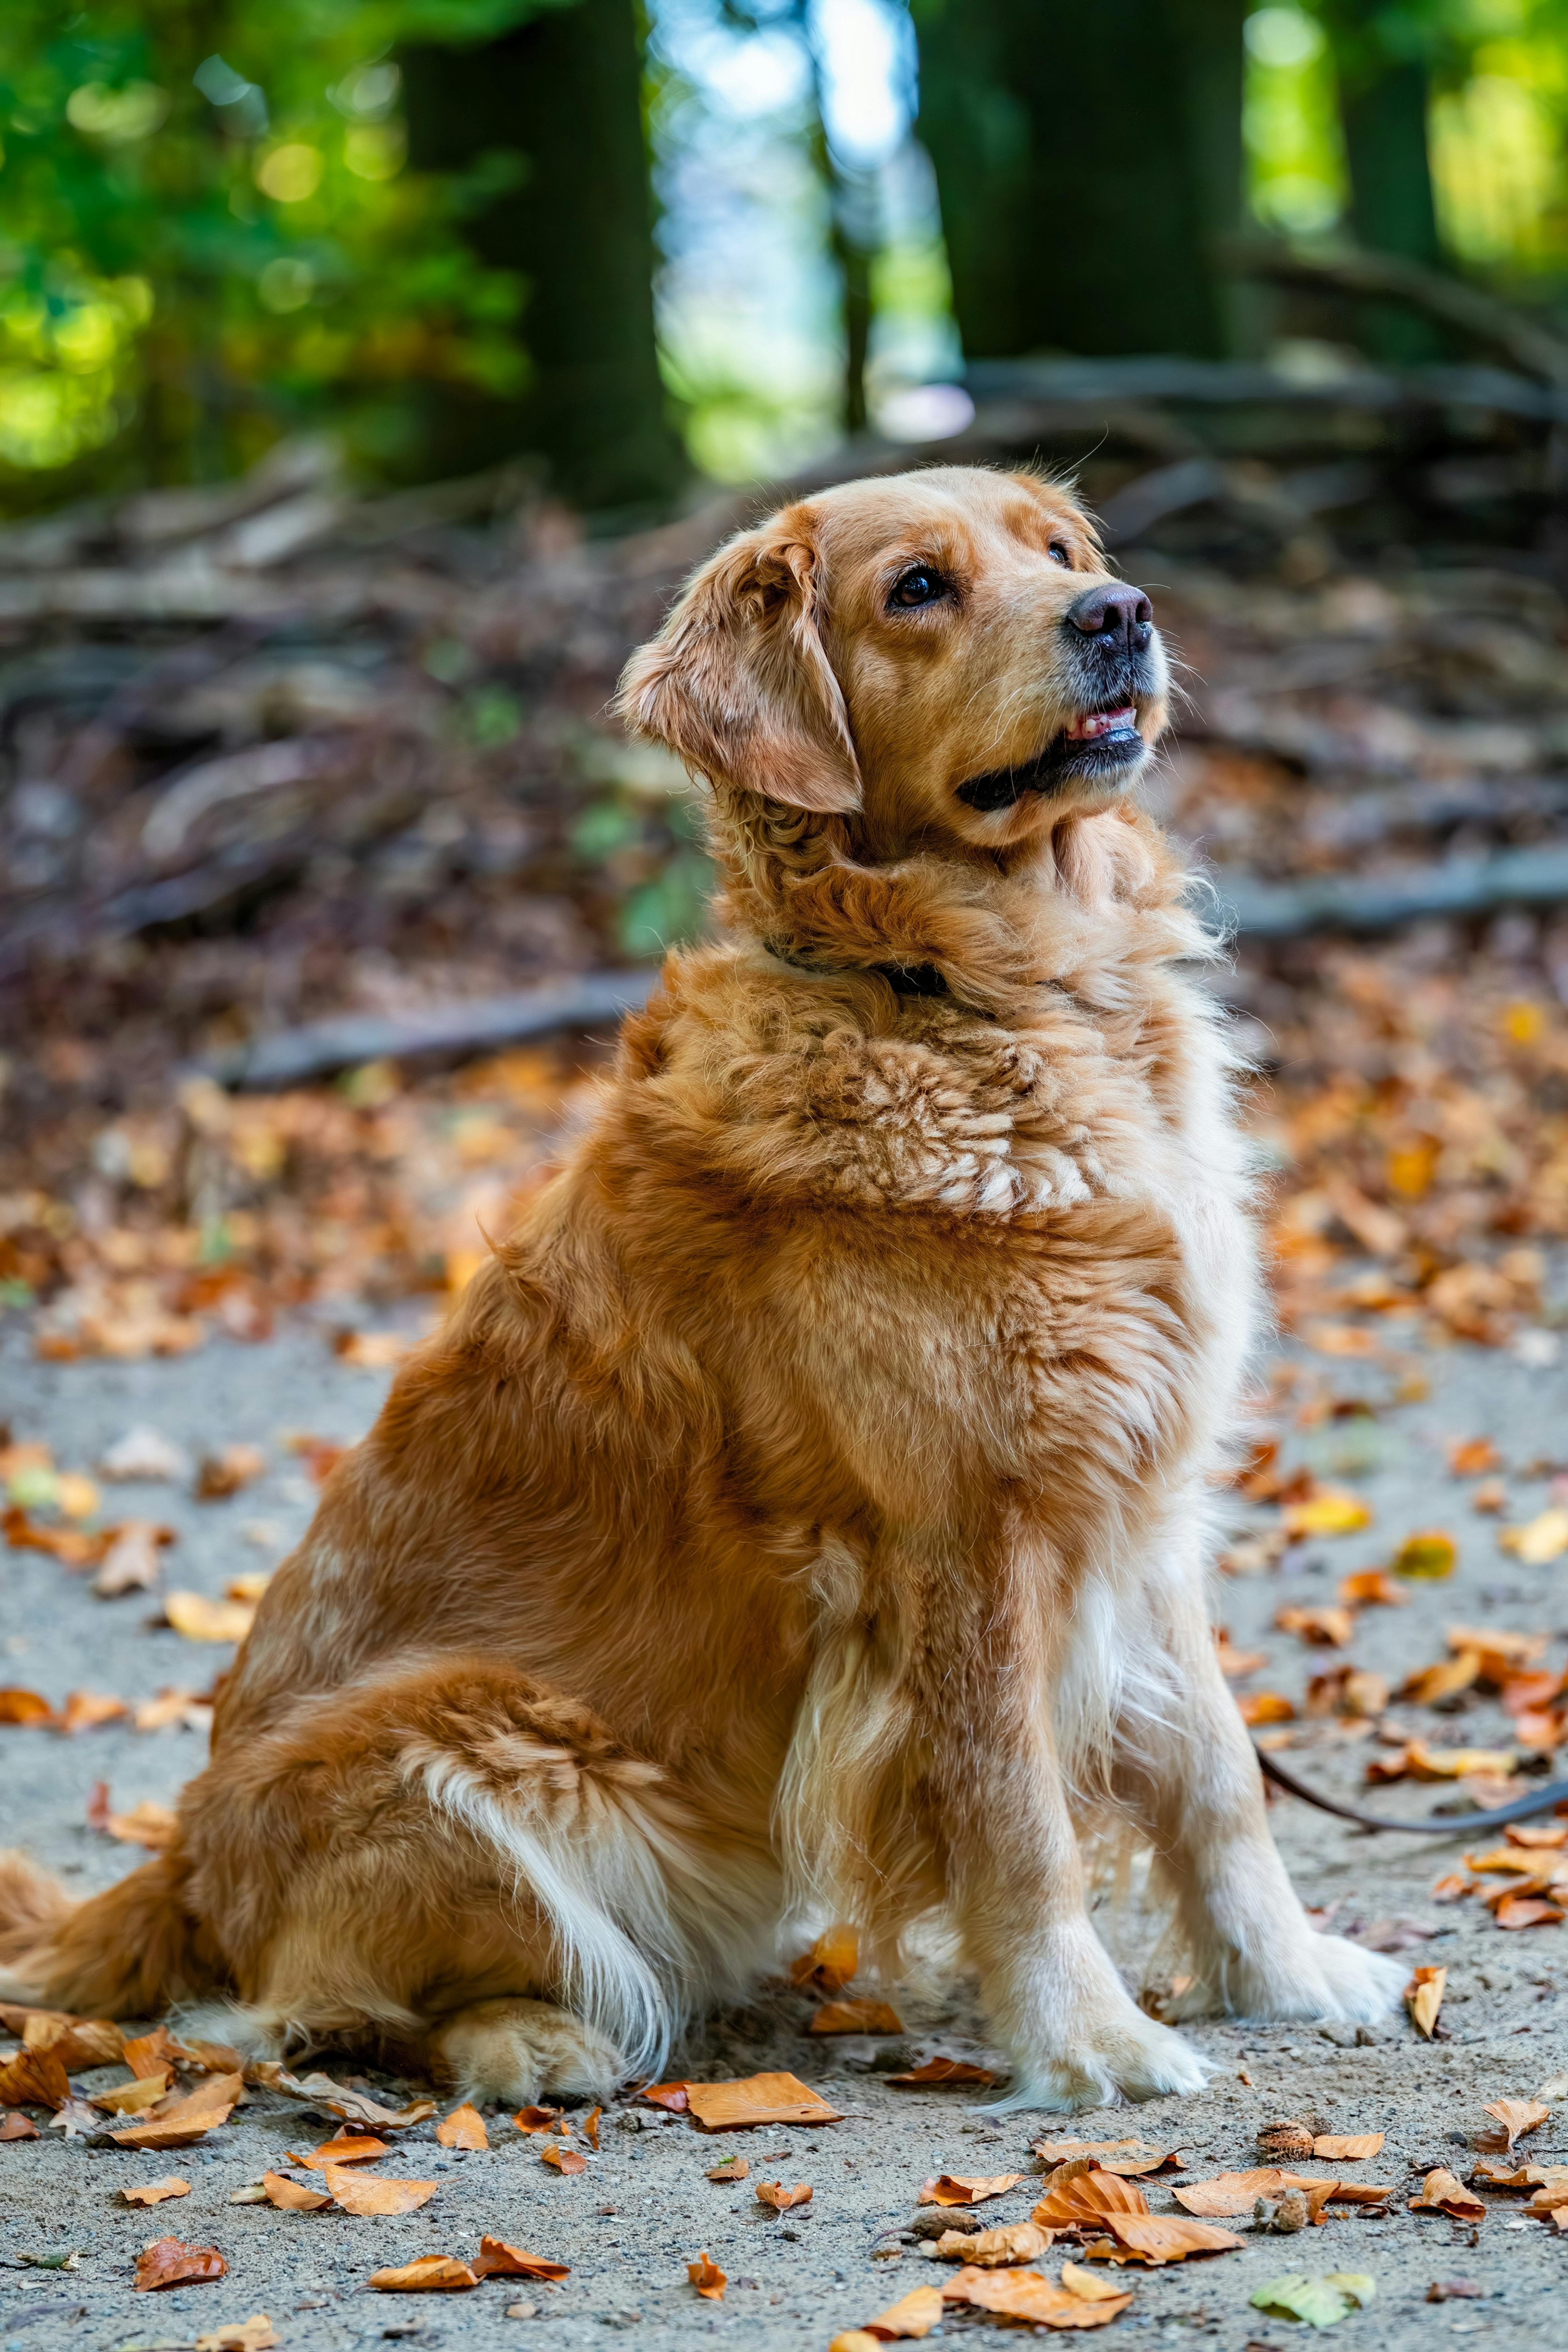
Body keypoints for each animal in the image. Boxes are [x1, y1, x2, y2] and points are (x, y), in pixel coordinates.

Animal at [0, 468, 1410, 2107]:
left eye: (1060, 551)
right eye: (916, 588)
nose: (1116, 616)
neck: (971, 997)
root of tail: (173, 1867)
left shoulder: (1138, 1492)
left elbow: (1216, 1774)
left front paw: (1287, 1974)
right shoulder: (962, 1542)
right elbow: (1021, 1825)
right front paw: (1089, 2040)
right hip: (462, 1744)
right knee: (311, 2009)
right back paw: (536, 2040)